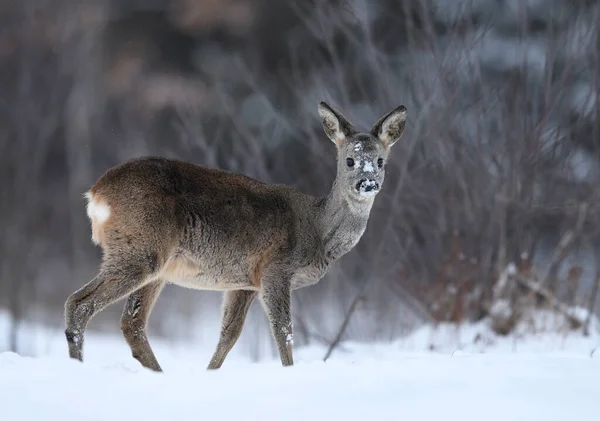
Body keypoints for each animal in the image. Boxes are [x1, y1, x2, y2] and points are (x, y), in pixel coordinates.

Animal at [63, 100, 406, 370]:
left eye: (380, 161)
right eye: (349, 160)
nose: (368, 183)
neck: (317, 229)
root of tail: (96, 193)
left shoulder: (244, 282)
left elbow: (229, 334)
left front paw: (210, 373)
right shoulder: (275, 269)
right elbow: (283, 330)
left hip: (155, 264)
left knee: (131, 322)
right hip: (139, 249)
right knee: (79, 303)